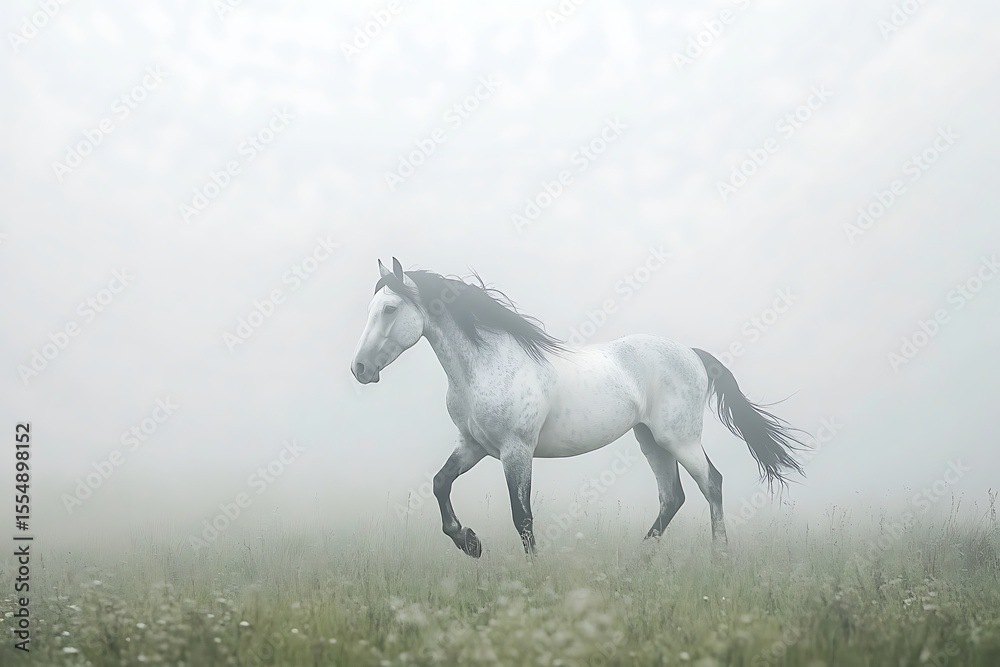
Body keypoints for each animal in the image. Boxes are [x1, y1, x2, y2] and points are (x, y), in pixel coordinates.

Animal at [350, 257, 808, 557]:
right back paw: (639, 559)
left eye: (389, 308)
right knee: (672, 497)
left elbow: (522, 517)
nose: (359, 368)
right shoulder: (473, 445)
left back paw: (720, 555)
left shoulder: (516, 451)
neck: (488, 363)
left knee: (711, 483)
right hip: (650, 441)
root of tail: (693, 355)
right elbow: (440, 484)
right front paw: (469, 542)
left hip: (678, 439)